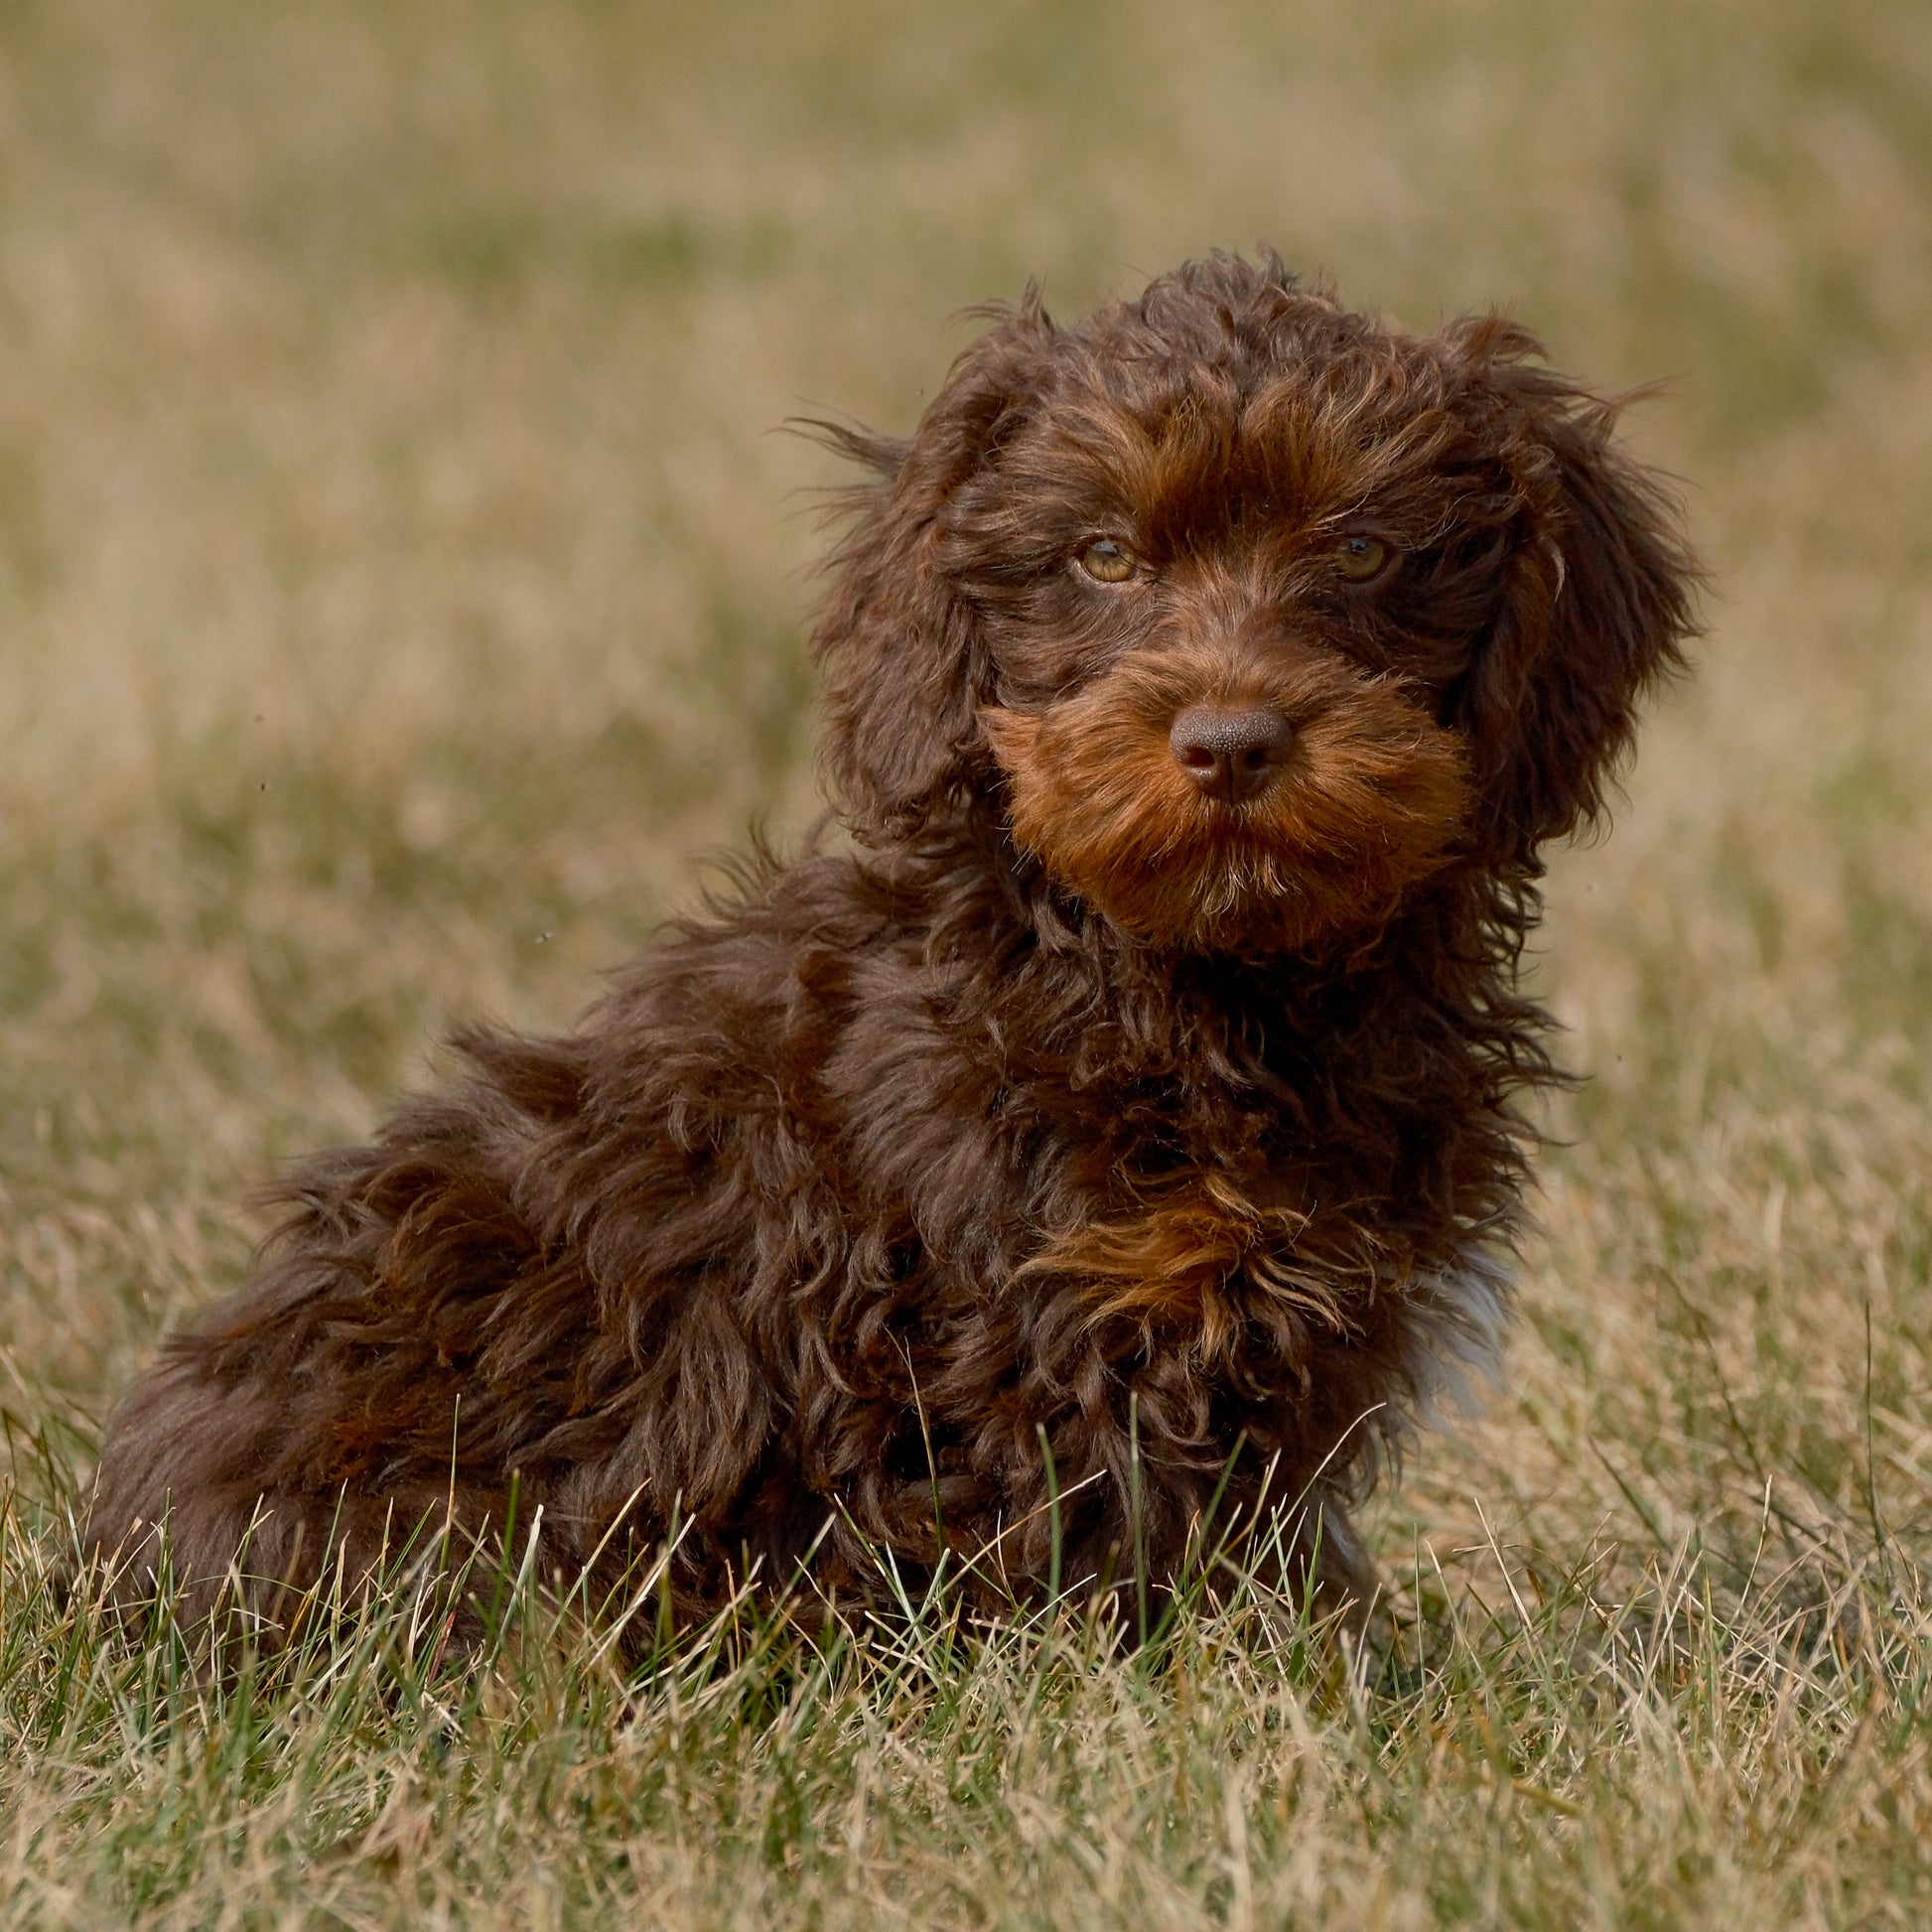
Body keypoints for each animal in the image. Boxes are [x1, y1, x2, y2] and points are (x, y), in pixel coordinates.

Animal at [86, 256, 1692, 1638]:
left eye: (1360, 549)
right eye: (1103, 555)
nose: (1231, 740)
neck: (1181, 976)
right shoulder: (1034, 1328)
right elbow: (1096, 1549)